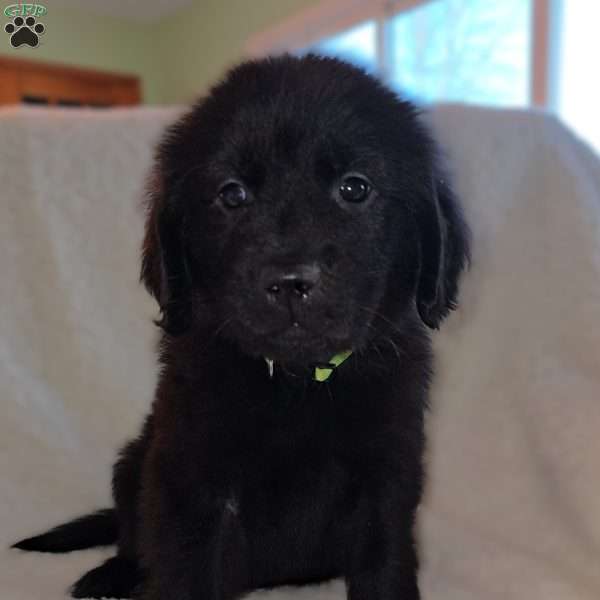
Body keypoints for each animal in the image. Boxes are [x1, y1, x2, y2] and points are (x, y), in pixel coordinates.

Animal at [14, 56, 472, 600]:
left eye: (355, 187)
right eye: (232, 194)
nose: (290, 282)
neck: (297, 382)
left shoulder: (387, 478)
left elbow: (385, 567)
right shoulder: (190, 483)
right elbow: (181, 573)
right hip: (131, 464)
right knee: (129, 536)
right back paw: (112, 574)